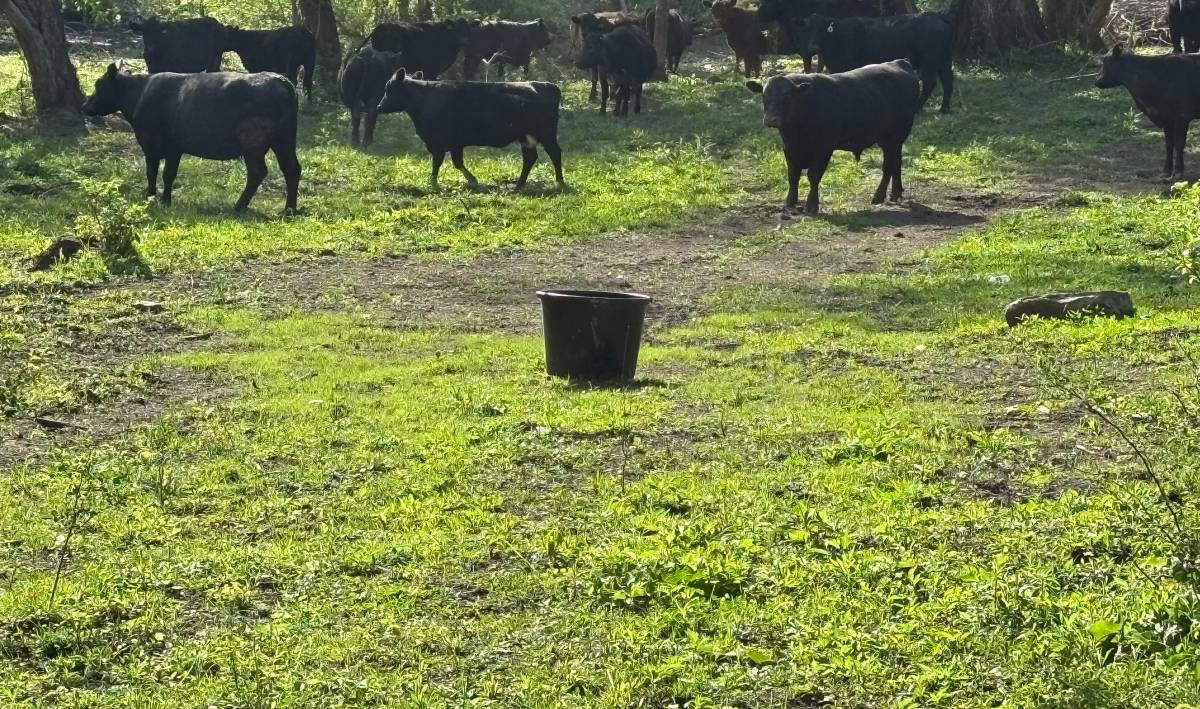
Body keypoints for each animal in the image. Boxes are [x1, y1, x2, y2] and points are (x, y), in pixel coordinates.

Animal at [82, 64, 301, 213]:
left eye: (99, 85)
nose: (84, 106)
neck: (140, 93)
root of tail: (279, 79)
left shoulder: (151, 145)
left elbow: (152, 172)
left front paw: (150, 196)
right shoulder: (175, 148)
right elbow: (169, 174)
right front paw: (165, 200)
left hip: (253, 141)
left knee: (257, 172)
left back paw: (239, 206)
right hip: (284, 141)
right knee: (292, 169)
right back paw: (289, 209)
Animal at [375, 69, 565, 190]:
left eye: (389, 88)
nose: (379, 107)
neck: (424, 99)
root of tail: (546, 85)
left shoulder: (439, 142)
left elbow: (439, 162)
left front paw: (433, 183)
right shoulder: (454, 143)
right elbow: (457, 162)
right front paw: (472, 180)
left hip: (546, 134)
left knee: (555, 153)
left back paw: (560, 182)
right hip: (526, 136)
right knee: (530, 158)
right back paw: (518, 185)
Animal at [746, 59, 920, 213]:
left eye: (788, 97)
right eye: (764, 96)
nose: (771, 119)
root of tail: (900, 63)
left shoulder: (823, 149)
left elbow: (813, 176)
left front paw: (811, 205)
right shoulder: (789, 149)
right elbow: (793, 175)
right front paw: (790, 202)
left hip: (896, 135)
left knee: (889, 165)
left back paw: (879, 196)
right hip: (890, 140)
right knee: (896, 162)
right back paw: (895, 194)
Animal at [789, 13, 955, 113]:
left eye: (822, 29)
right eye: (807, 29)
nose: (814, 47)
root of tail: (938, 16)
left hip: (930, 62)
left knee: (929, 83)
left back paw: (917, 108)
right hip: (944, 60)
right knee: (948, 81)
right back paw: (944, 109)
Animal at [1096, 43, 1200, 181]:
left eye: (1105, 59)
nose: (1097, 79)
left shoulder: (1182, 117)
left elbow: (1179, 144)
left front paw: (1178, 172)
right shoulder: (1166, 118)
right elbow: (1169, 144)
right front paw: (1165, 172)